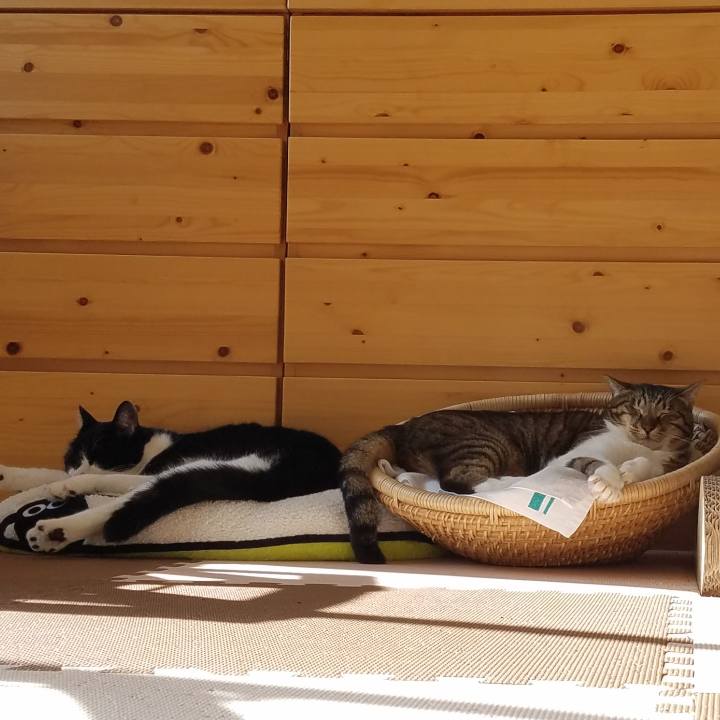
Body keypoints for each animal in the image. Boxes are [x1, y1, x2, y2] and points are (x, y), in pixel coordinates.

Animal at [0, 401, 341, 552]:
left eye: (99, 455)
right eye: (74, 458)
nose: (79, 468)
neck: (149, 449)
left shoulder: (146, 471)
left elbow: (99, 481)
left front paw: (68, 486)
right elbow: (42, 476)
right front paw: (9, 475)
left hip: (210, 465)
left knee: (127, 500)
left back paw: (55, 532)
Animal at [340, 378, 703, 564]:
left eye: (666, 414)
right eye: (634, 410)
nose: (647, 427)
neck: (639, 445)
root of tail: (403, 426)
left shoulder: (665, 462)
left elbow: (645, 466)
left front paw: (628, 472)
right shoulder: (574, 455)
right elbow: (599, 464)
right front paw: (609, 483)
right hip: (484, 443)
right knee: (456, 481)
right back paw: (513, 480)